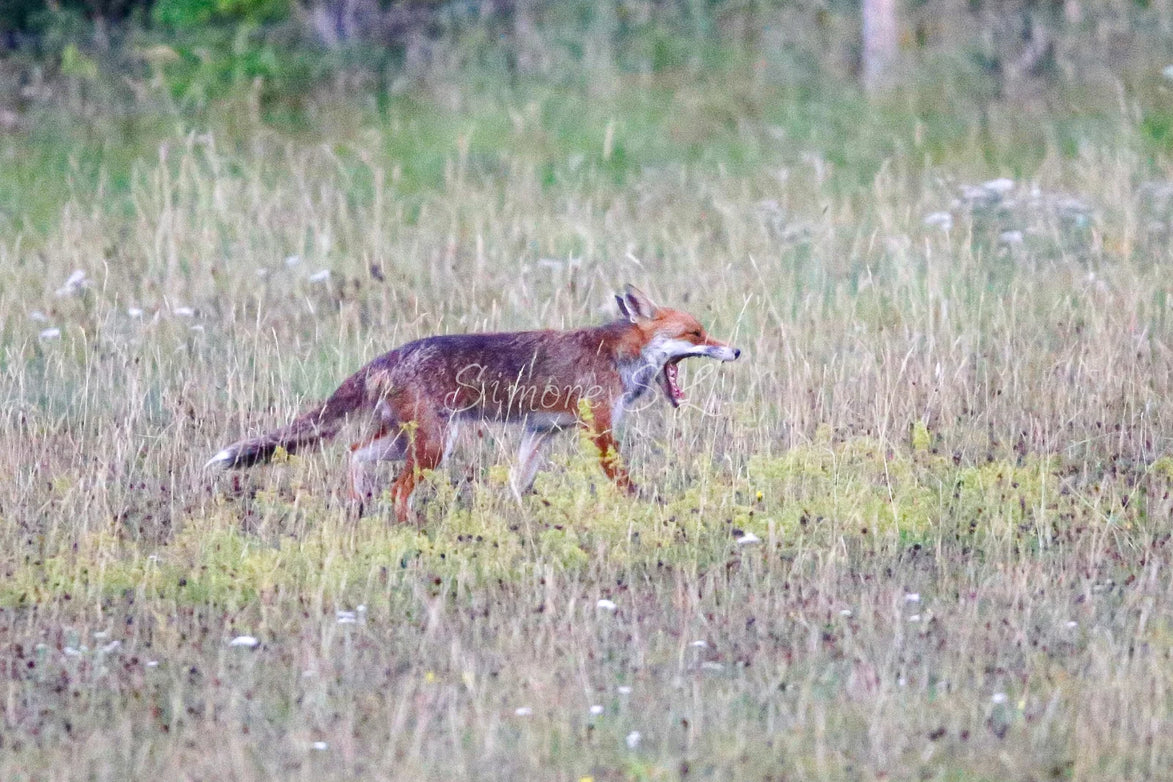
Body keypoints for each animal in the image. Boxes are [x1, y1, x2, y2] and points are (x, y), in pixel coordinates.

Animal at [206, 285, 740, 523]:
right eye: (696, 334)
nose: (735, 351)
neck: (617, 356)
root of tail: (389, 355)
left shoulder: (541, 432)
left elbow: (519, 482)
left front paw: (517, 518)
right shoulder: (600, 431)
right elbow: (626, 482)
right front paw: (650, 508)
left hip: (409, 443)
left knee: (355, 455)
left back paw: (360, 507)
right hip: (431, 448)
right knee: (396, 490)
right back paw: (407, 528)